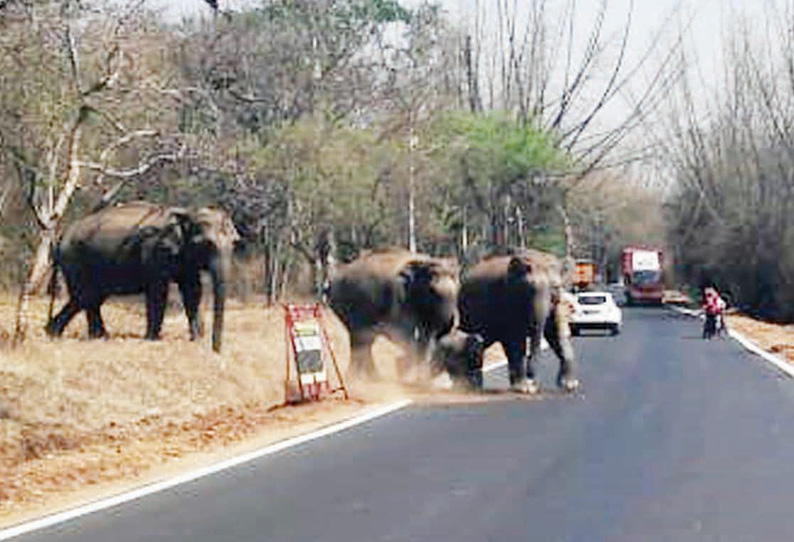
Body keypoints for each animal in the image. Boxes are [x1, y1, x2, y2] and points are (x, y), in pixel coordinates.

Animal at [45, 200, 238, 352]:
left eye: (235, 242)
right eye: (207, 244)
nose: (215, 350)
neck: (187, 212)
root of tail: (60, 238)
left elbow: (192, 291)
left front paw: (196, 339)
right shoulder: (154, 252)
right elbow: (158, 291)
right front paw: (153, 338)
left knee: (87, 298)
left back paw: (60, 332)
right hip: (74, 260)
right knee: (85, 297)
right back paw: (86, 335)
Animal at [324, 249, 458, 380]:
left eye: (457, 291)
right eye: (432, 291)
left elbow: (424, 336)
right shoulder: (398, 297)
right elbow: (406, 332)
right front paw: (411, 375)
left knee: (364, 339)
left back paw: (371, 377)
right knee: (360, 337)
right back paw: (360, 378)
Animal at [458, 250, 576, 396]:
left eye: (555, 287)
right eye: (530, 289)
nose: (533, 382)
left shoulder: (558, 302)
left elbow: (557, 334)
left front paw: (570, 385)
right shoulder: (509, 299)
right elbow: (517, 339)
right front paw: (525, 389)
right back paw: (470, 386)